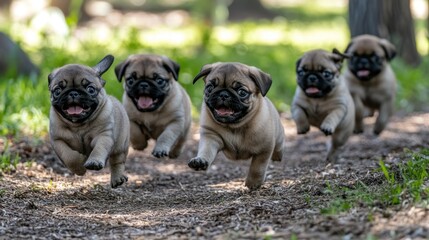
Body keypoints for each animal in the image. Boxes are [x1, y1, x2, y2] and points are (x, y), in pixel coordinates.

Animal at [48, 55, 129, 188]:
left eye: (90, 89)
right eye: (57, 91)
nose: (73, 92)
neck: (78, 125)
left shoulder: (103, 136)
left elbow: (99, 149)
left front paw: (94, 162)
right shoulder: (58, 141)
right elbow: (69, 156)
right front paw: (80, 168)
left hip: (121, 145)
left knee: (117, 162)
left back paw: (118, 179)